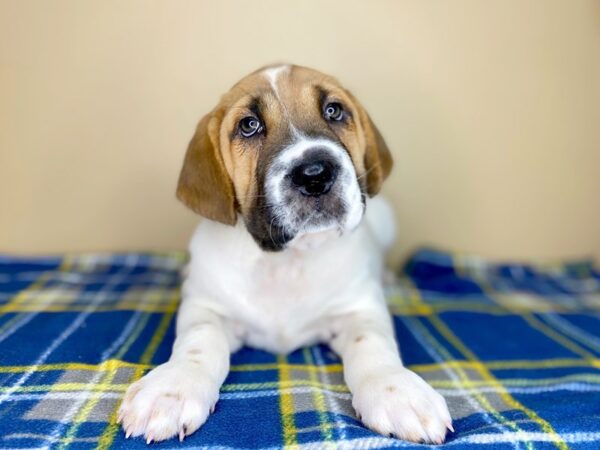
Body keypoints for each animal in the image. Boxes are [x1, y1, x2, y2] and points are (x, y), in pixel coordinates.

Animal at [119, 63, 452, 442]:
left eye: (333, 110)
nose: (315, 174)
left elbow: (373, 342)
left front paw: (397, 390)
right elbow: (198, 341)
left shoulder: (359, 309)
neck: (287, 259)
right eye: (249, 125)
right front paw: (171, 388)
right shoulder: (205, 307)